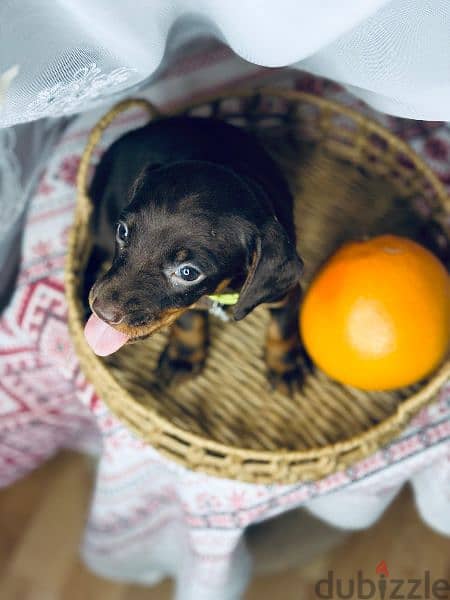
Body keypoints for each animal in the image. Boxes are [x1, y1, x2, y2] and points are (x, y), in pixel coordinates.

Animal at [84, 116, 306, 394]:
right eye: (123, 232)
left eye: (188, 273)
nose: (100, 311)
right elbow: (189, 321)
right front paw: (184, 357)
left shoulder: (285, 292)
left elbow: (282, 328)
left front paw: (285, 367)